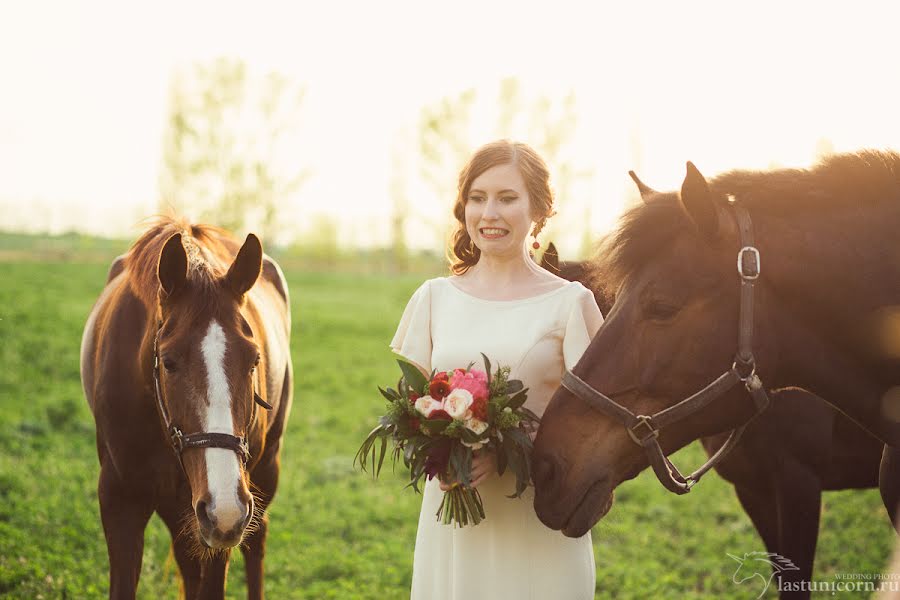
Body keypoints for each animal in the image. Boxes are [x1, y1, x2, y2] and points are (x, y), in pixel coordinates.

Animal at [79, 217, 294, 600]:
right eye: (168, 362)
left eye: (254, 360)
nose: (225, 507)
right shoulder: (119, 500)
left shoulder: (223, 520)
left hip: (262, 472)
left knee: (257, 540)